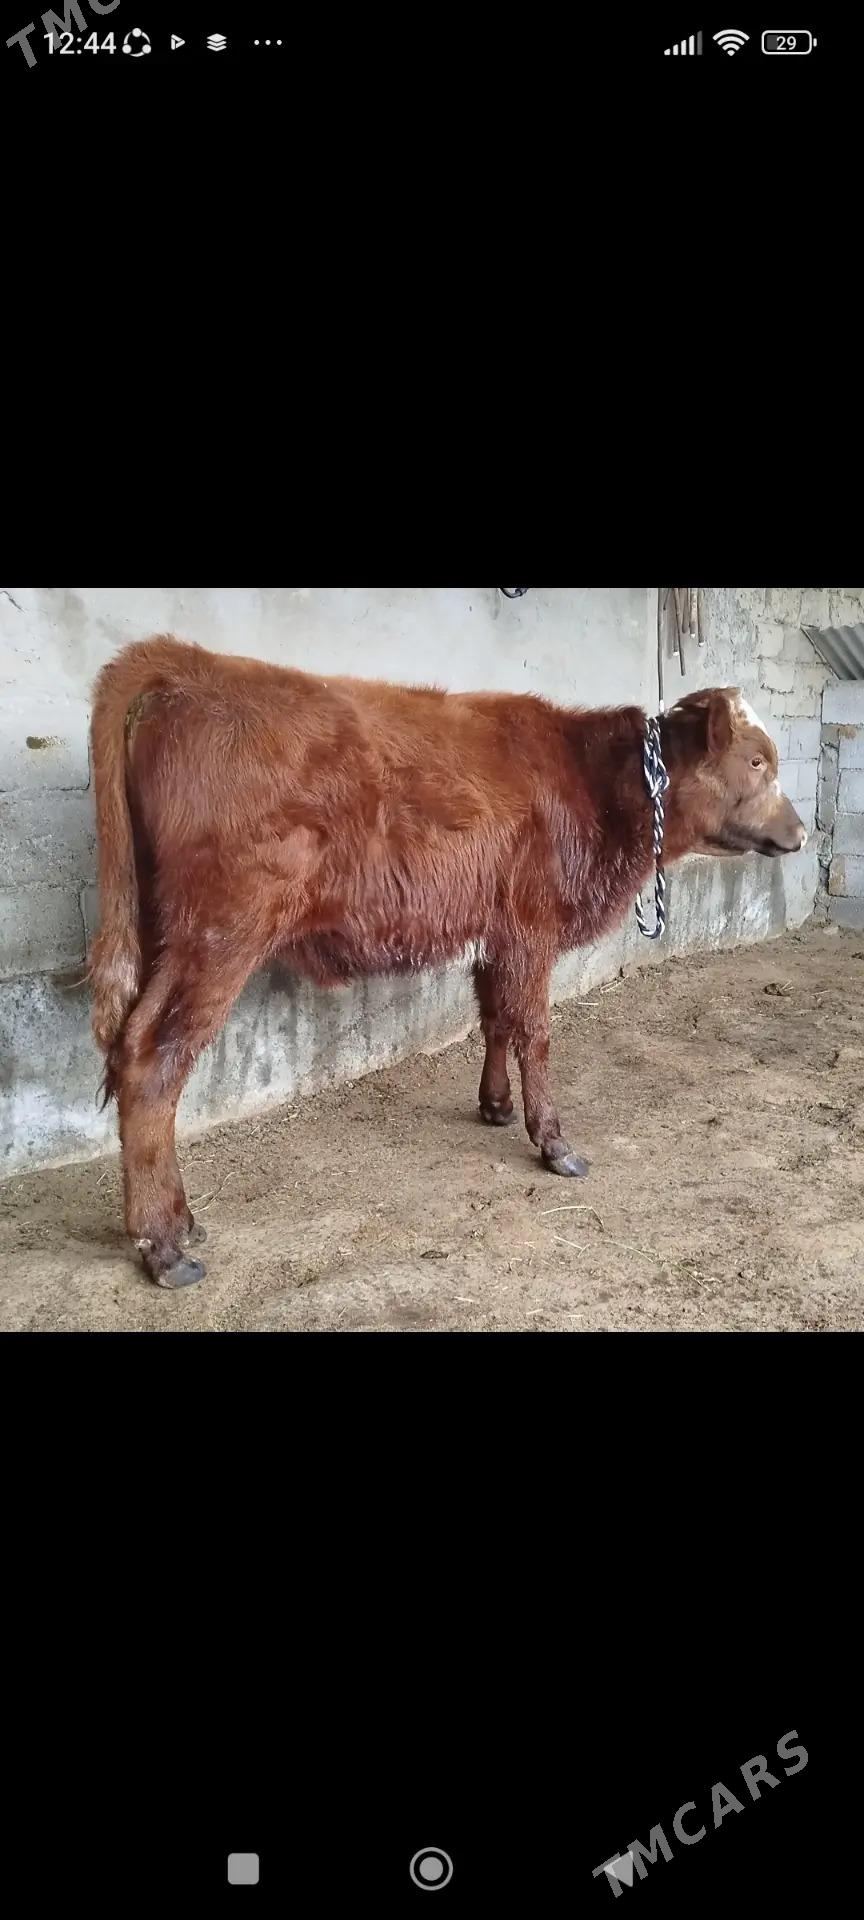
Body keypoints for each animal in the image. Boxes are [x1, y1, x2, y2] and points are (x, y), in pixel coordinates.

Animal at [89, 637, 806, 1287]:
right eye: (757, 760)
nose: (801, 833)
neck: (588, 780)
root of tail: (186, 661)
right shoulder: (531, 927)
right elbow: (534, 1032)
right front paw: (554, 1142)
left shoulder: (496, 932)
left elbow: (494, 1018)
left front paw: (495, 1106)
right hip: (219, 933)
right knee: (152, 1061)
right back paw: (163, 1245)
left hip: (162, 931)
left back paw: (180, 1221)